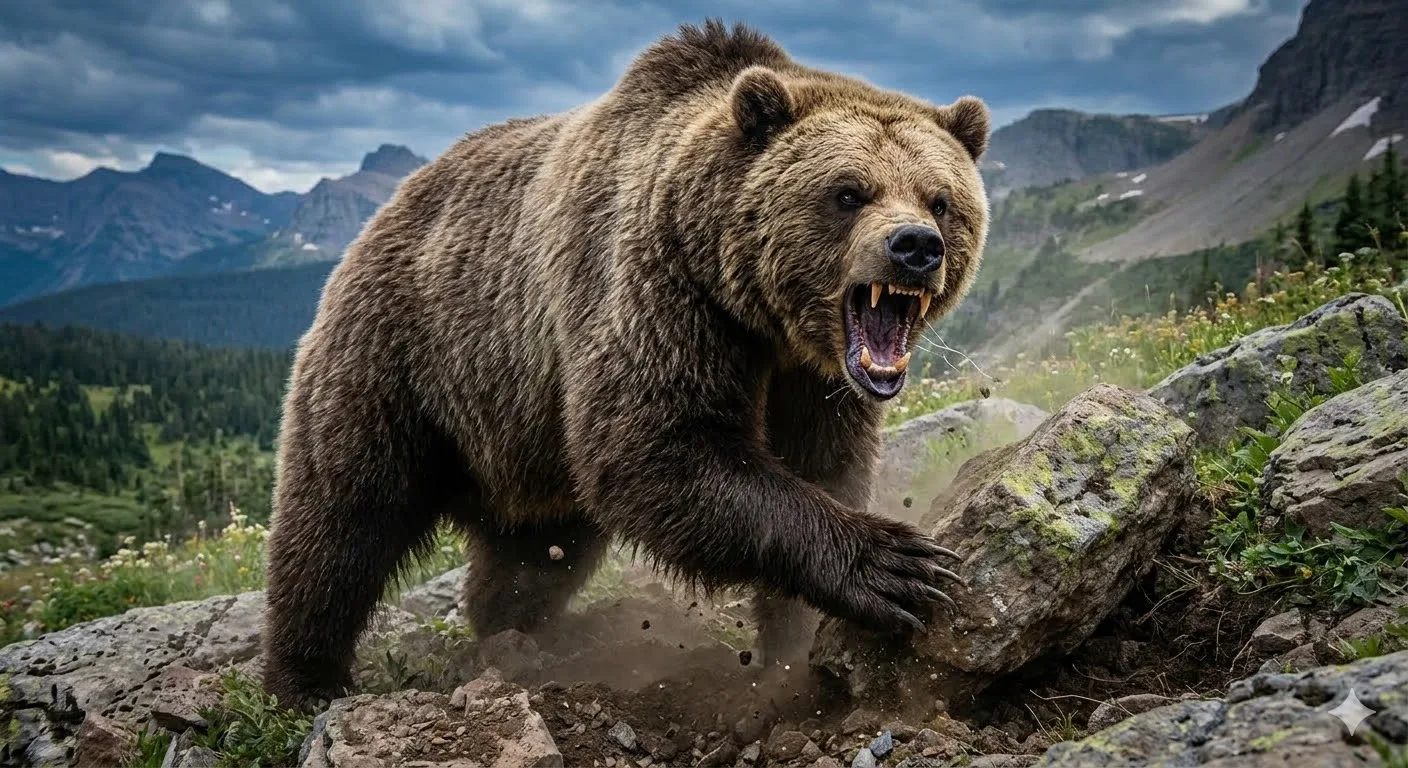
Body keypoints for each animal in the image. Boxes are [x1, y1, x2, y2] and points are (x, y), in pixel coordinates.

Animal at [261, 18, 991, 710]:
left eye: (940, 199)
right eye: (848, 192)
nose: (915, 246)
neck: (757, 315)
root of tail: (387, 212)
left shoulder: (815, 381)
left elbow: (827, 464)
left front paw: (796, 642)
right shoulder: (656, 290)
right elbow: (654, 448)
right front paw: (898, 565)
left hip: (528, 436)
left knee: (534, 558)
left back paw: (517, 634)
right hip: (405, 355)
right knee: (341, 520)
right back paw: (304, 680)